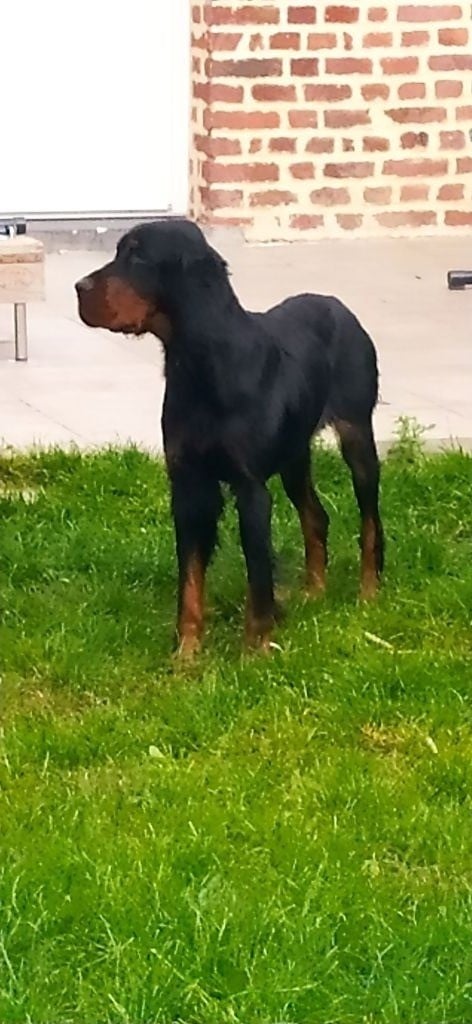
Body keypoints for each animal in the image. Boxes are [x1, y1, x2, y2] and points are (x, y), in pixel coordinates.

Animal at [76, 218, 384, 656]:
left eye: (137, 256)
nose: (78, 287)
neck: (203, 369)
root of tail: (339, 306)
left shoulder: (250, 488)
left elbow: (258, 573)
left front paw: (255, 649)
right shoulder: (188, 486)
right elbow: (189, 581)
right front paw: (186, 656)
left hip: (357, 437)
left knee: (371, 520)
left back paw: (369, 593)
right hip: (294, 456)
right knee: (316, 516)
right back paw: (314, 592)